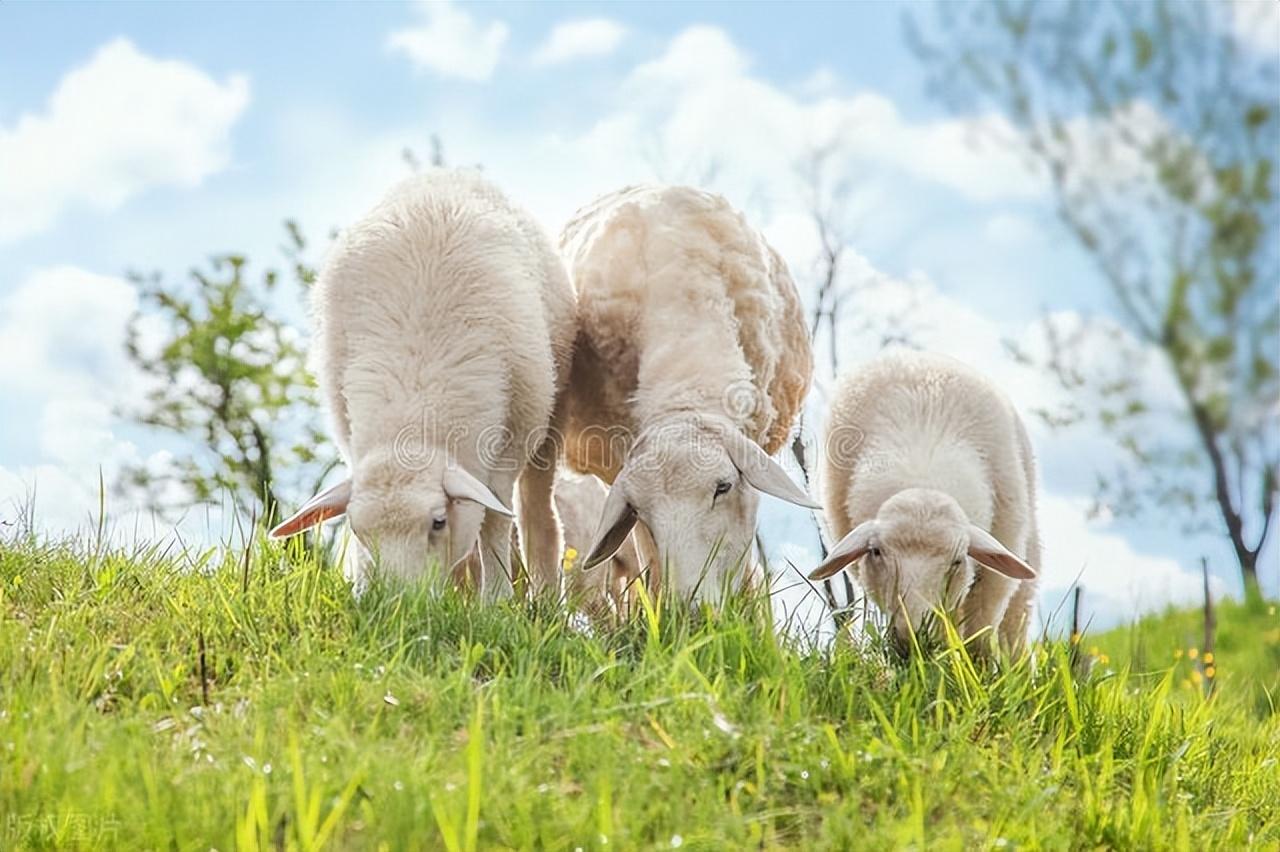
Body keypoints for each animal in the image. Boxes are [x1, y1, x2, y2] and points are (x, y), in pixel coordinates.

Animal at [270, 168, 576, 596]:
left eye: (438, 522)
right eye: (358, 530)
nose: (396, 602)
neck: (414, 397)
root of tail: (446, 173)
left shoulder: (512, 441)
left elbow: (495, 522)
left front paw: (496, 599)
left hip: (550, 417)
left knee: (536, 513)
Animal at [808, 347, 1039, 652]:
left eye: (957, 560)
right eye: (877, 552)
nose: (912, 636)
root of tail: (918, 356)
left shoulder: (996, 577)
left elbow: (981, 628)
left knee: (1015, 621)